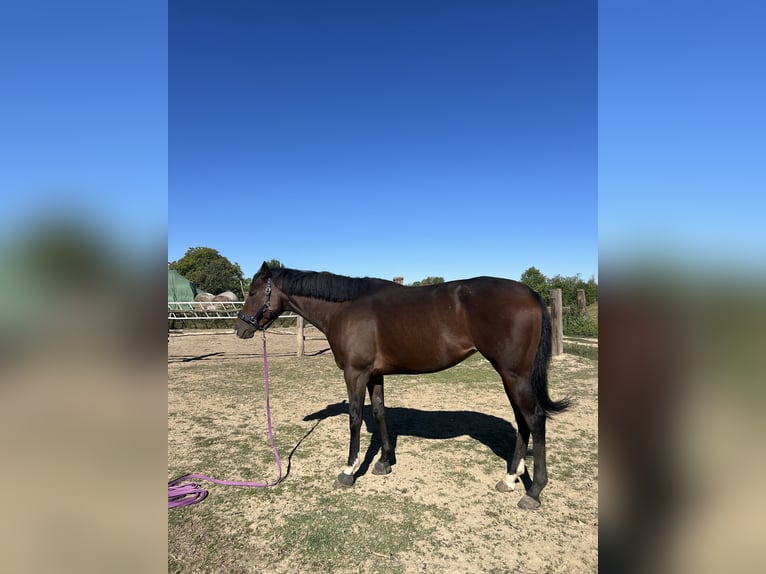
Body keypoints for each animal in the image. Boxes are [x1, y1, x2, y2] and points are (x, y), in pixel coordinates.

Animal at [236, 262, 571, 509]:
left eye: (253, 291)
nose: (240, 328)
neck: (345, 308)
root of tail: (531, 294)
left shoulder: (355, 374)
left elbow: (355, 418)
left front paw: (348, 471)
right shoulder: (374, 375)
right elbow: (380, 413)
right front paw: (384, 462)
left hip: (514, 375)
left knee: (535, 419)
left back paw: (533, 491)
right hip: (510, 376)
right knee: (522, 421)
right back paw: (511, 478)